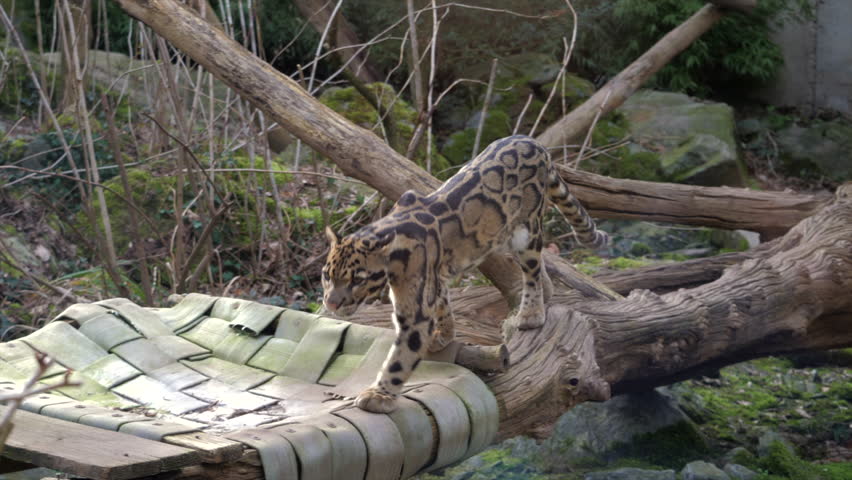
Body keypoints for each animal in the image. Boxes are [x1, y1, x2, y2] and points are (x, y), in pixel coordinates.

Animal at [322, 135, 609, 413]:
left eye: (358, 279)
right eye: (327, 275)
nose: (331, 303)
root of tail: (533, 142)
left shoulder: (415, 313)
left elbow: (400, 358)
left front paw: (379, 395)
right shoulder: (434, 277)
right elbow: (442, 301)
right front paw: (444, 334)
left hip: (525, 229)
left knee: (532, 267)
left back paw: (531, 313)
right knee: (538, 266)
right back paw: (545, 293)